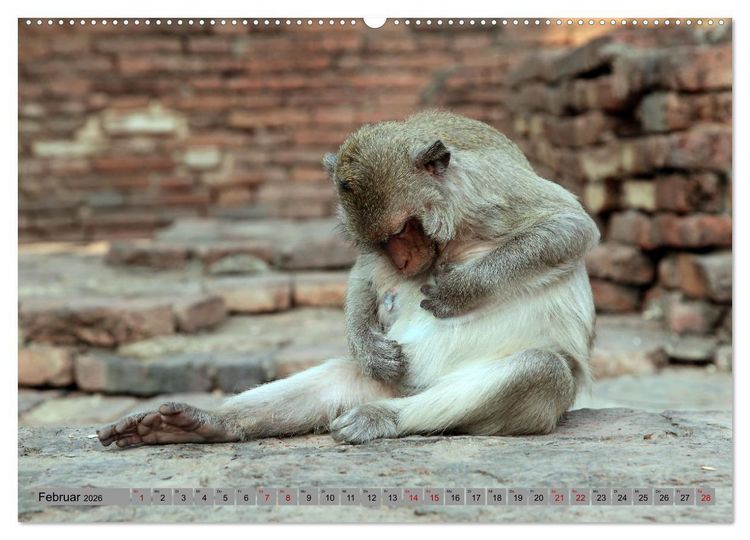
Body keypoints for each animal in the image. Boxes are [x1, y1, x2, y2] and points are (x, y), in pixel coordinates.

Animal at [97, 110, 599, 448]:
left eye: (404, 230)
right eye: (380, 241)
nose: (402, 261)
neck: (453, 227)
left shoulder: (491, 193)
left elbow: (571, 227)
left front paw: (460, 291)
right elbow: (364, 274)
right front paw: (368, 343)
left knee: (540, 369)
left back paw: (381, 419)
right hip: (386, 379)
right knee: (335, 381)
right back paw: (207, 423)